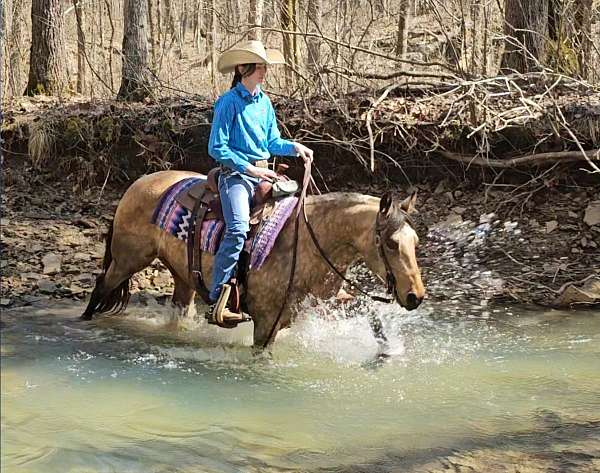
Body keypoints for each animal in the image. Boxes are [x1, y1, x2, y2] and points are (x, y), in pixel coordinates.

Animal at [81, 170, 426, 346]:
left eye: (416, 242)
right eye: (391, 243)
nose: (416, 297)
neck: (309, 243)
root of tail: (139, 183)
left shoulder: (325, 304)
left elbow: (369, 311)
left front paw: (386, 354)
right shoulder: (266, 325)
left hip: (182, 277)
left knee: (178, 309)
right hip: (128, 259)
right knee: (100, 288)